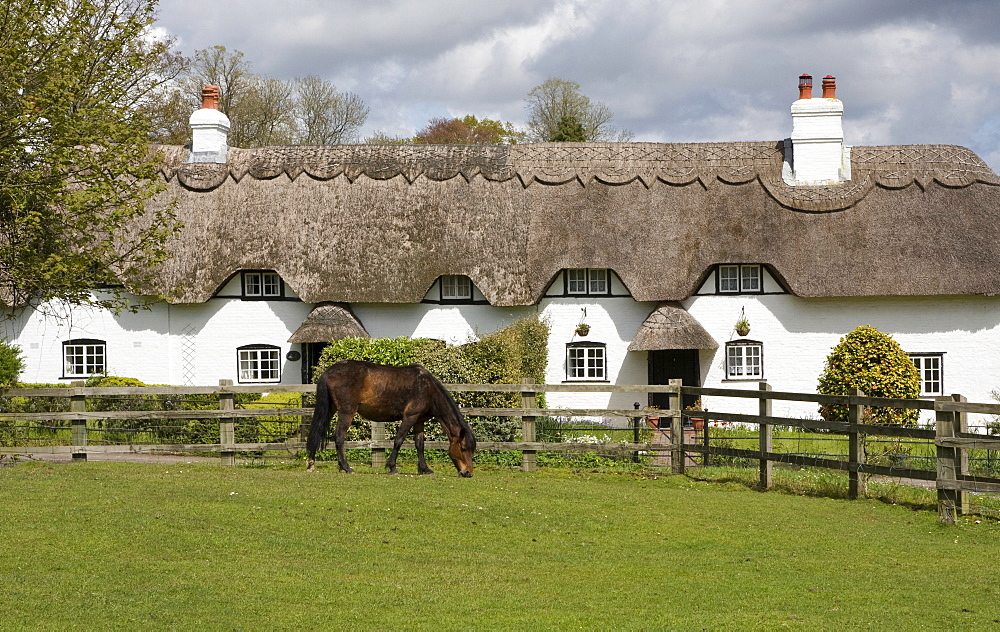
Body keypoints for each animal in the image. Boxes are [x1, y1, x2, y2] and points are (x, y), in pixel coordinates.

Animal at [304, 360, 476, 474]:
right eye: (463, 448)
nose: (468, 472)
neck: (428, 388)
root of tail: (328, 372)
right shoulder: (410, 417)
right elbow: (398, 440)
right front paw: (392, 467)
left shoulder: (419, 421)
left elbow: (420, 445)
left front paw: (424, 469)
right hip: (347, 412)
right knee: (339, 437)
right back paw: (347, 468)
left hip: (330, 409)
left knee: (317, 432)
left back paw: (313, 463)